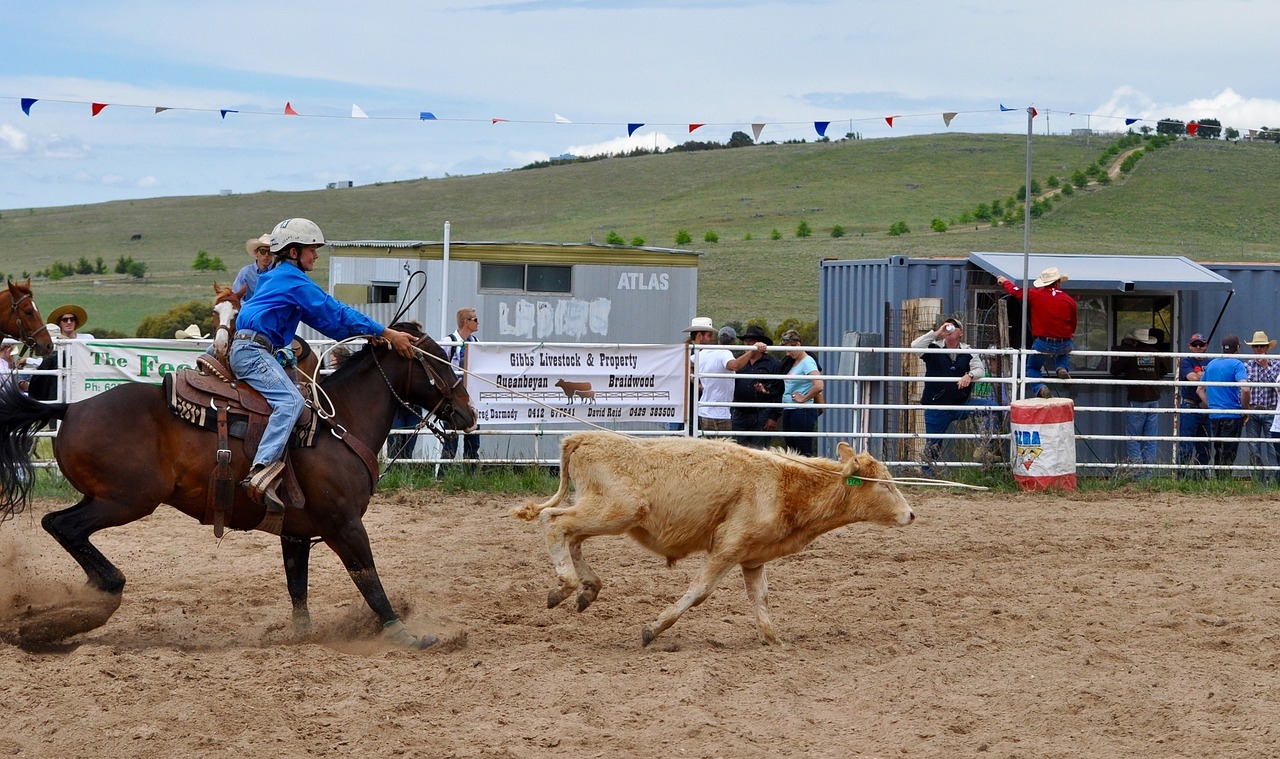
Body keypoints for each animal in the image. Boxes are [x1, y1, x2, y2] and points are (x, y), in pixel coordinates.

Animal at [0, 322, 476, 647]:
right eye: (438, 359)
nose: (468, 412)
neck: (337, 423)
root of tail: (70, 408)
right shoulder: (345, 526)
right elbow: (370, 581)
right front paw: (406, 636)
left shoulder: (296, 533)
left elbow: (297, 586)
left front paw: (301, 636)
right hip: (126, 500)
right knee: (63, 526)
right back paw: (98, 595)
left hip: (105, 497)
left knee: (59, 524)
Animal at [509, 432, 911, 645]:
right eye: (886, 485)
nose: (911, 514)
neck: (784, 487)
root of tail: (584, 437)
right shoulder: (727, 548)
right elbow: (700, 591)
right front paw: (653, 628)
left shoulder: (753, 557)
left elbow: (760, 598)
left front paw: (774, 640)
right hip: (616, 510)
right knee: (554, 522)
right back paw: (566, 585)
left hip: (602, 512)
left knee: (571, 535)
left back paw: (586, 589)